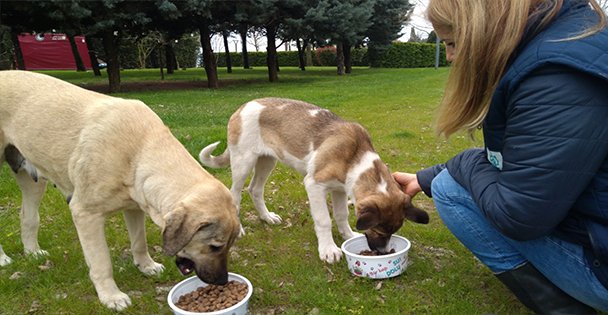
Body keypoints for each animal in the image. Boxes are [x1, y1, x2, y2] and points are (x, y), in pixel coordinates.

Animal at [0, 71, 242, 312]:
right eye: (214, 247)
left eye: (229, 245)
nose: (222, 280)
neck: (139, 152)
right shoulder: (86, 214)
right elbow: (101, 262)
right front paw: (111, 296)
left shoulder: (135, 207)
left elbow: (139, 242)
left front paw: (146, 265)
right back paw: (3, 258)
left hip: (32, 178)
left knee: (28, 217)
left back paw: (33, 252)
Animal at [200, 98, 428, 264]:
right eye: (379, 231)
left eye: (392, 232)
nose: (382, 252)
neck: (355, 156)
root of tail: (242, 107)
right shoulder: (314, 185)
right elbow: (324, 220)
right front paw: (328, 249)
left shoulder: (340, 189)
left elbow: (342, 215)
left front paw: (348, 235)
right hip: (243, 162)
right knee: (235, 194)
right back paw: (239, 229)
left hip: (267, 160)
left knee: (255, 189)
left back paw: (267, 217)